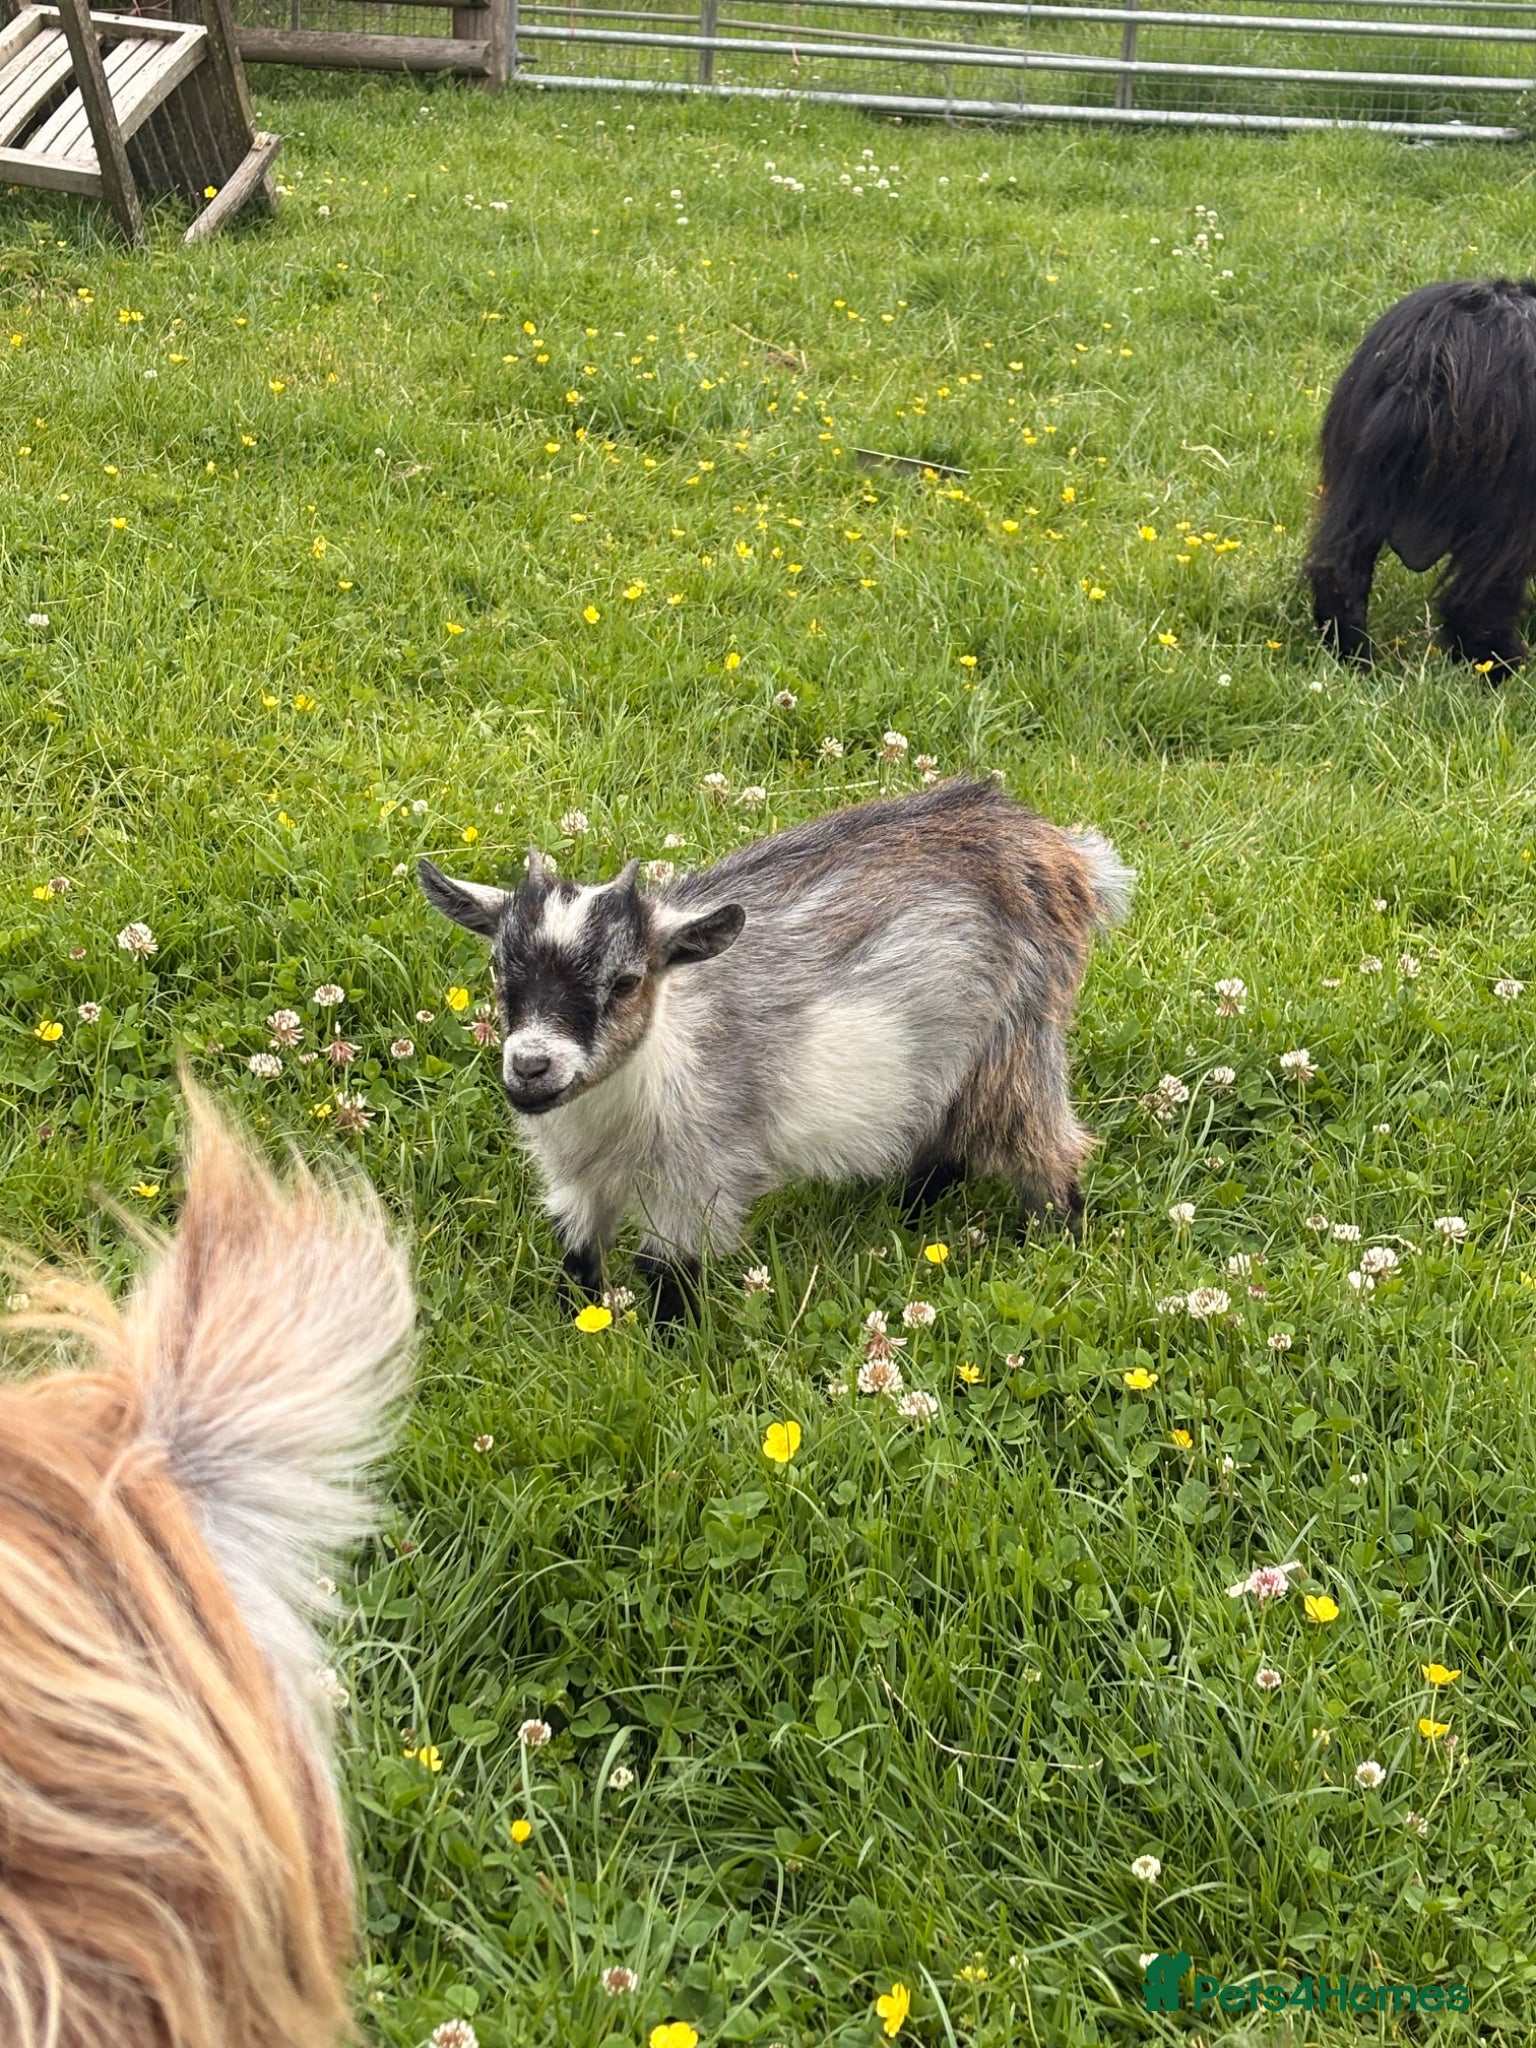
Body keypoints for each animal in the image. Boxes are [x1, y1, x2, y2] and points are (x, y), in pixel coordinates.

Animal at [420, 777, 1132, 1321]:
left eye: (625, 982)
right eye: (498, 970)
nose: (531, 1066)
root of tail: (1053, 847)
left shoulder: (700, 1174)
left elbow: (668, 1271)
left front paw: (670, 1351)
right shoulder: (574, 1181)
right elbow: (578, 1257)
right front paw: (578, 1325)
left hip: (1018, 1034)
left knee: (1043, 1145)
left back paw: (1057, 1242)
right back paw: (910, 1218)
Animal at [1307, 277, 1536, 671]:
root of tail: (1427, 360)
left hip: (1358, 475)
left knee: (1337, 570)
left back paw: (1354, 659)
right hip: (1509, 496)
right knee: (1476, 598)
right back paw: (1502, 666)